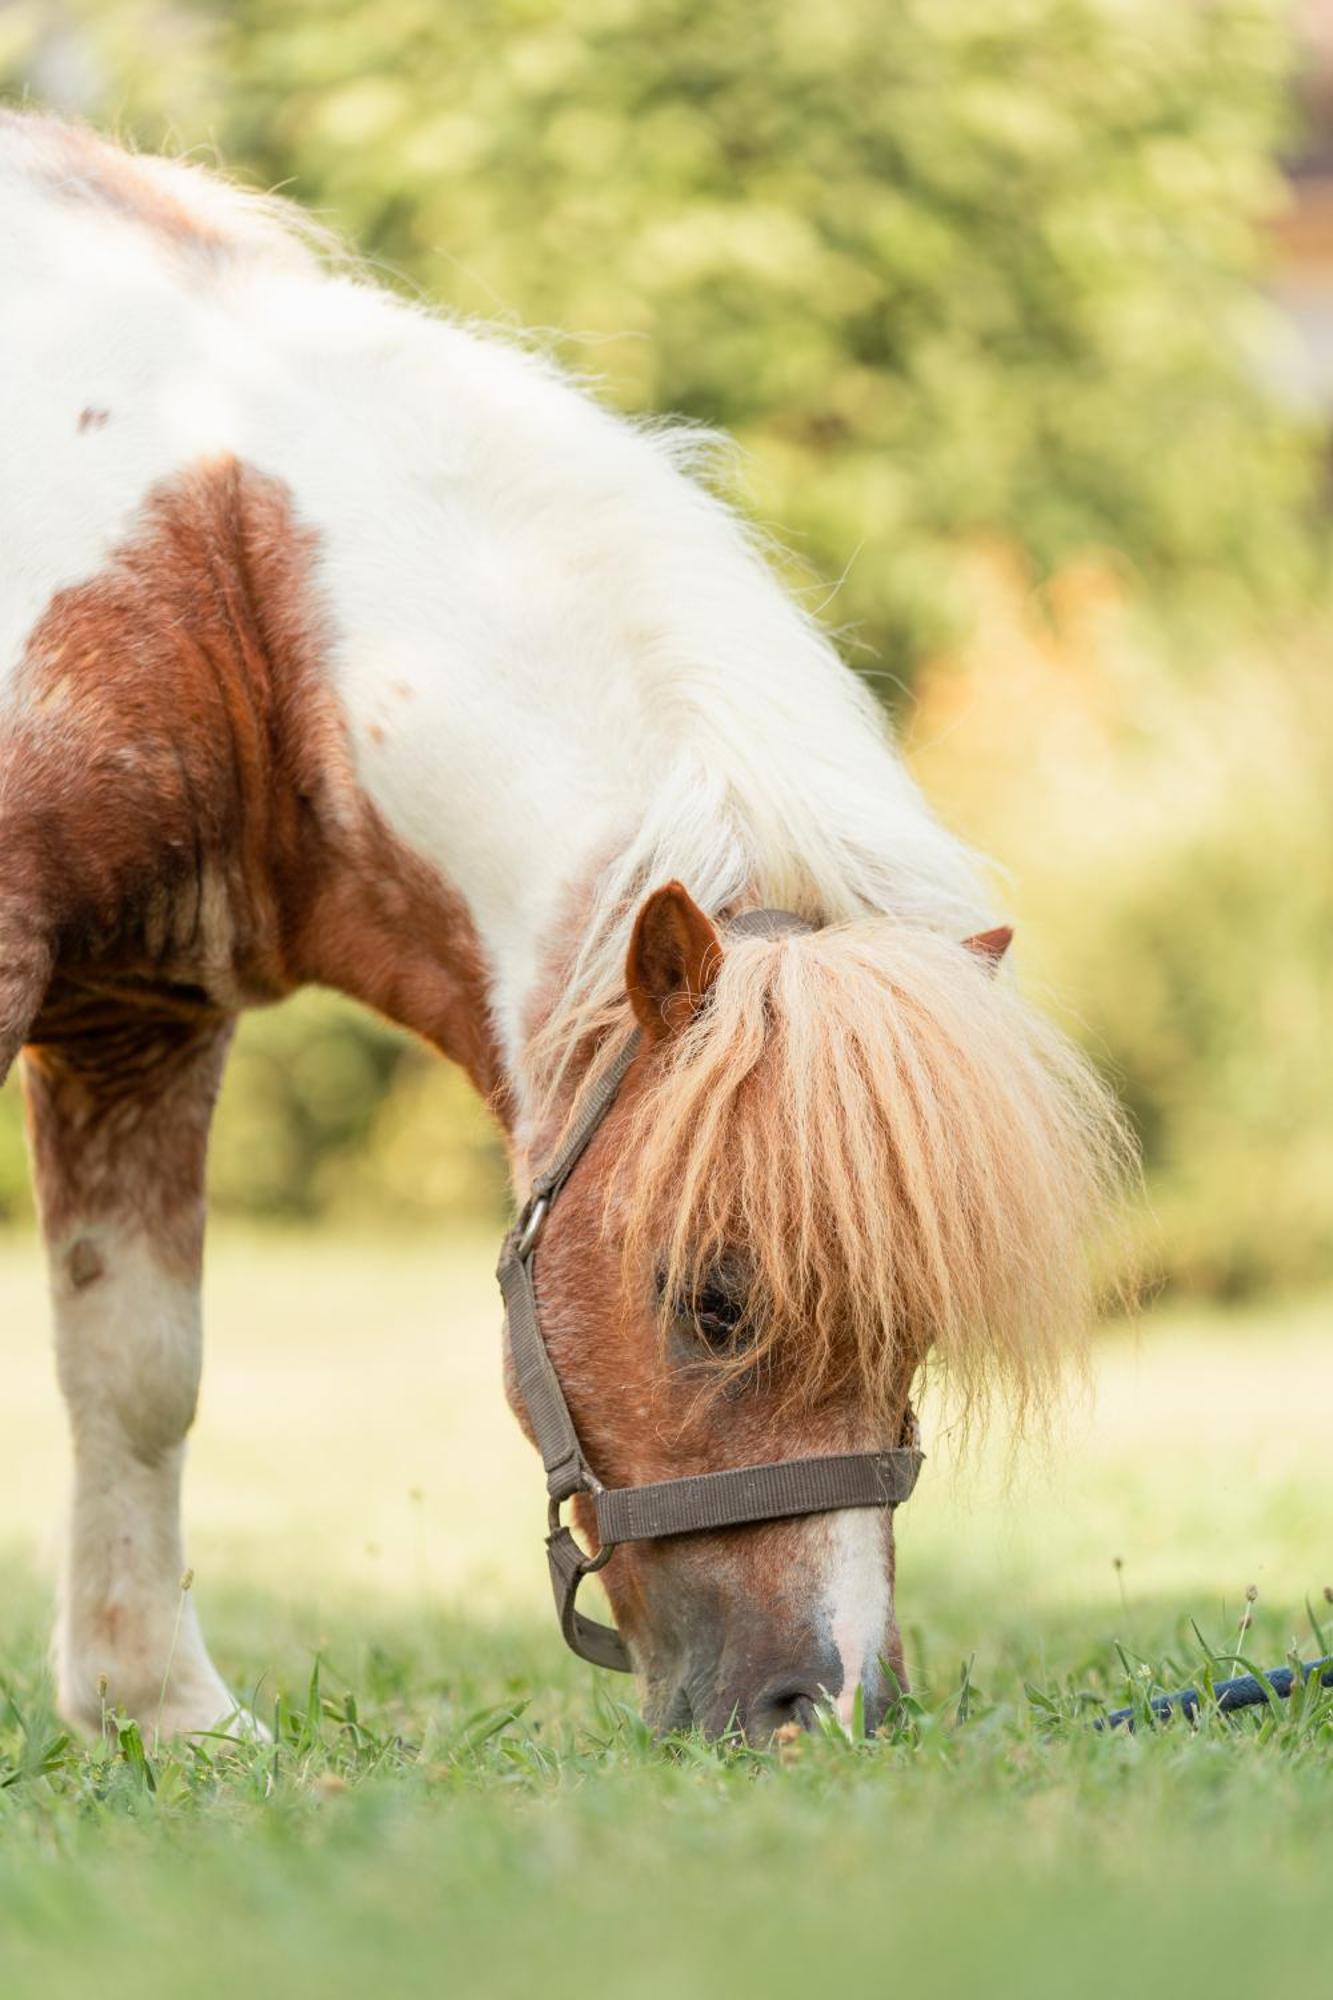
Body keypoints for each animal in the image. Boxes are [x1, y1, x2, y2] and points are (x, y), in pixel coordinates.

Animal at [0, 109, 1120, 1744]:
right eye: (714, 1301)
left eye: (912, 1327)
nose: (826, 1707)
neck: (194, 553)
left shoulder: (135, 1022)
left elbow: (139, 1372)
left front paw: (159, 1713)